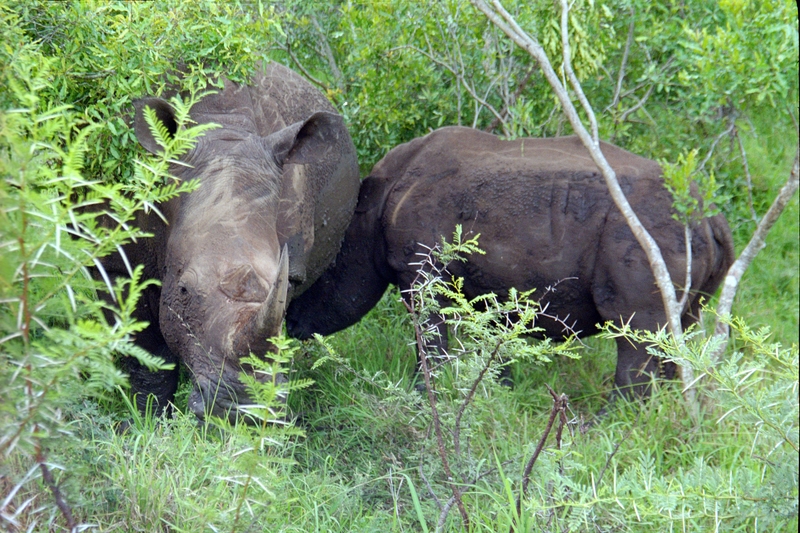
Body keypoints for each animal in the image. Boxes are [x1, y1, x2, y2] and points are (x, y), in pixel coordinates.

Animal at [98, 62, 358, 420]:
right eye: (184, 289)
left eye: (288, 283)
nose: (242, 410)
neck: (222, 127)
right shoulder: (115, 261)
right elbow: (146, 358)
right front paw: (144, 419)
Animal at [284, 127, 736, 396]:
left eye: (314, 279)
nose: (287, 325)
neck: (367, 211)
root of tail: (708, 215)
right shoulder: (493, 284)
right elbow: (495, 343)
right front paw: (498, 393)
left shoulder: (423, 272)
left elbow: (429, 340)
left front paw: (424, 396)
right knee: (676, 332)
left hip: (647, 231)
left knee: (636, 333)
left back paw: (609, 422)